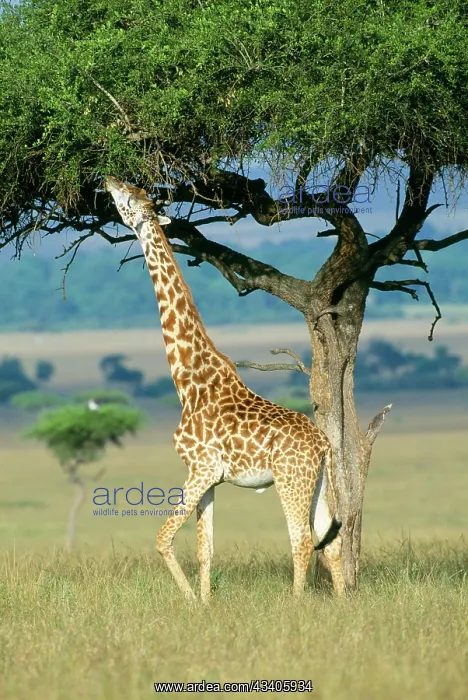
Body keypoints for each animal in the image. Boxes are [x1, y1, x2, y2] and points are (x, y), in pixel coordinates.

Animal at [105, 176, 346, 602]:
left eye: (130, 198)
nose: (107, 180)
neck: (188, 381)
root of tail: (324, 445)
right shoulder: (209, 477)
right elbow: (206, 548)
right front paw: (205, 604)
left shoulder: (199, 468)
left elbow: (163, 538)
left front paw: (189, 602)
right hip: (316, 481)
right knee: (330, 543)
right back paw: (346, 603)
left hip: (291, 479)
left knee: (301, 541)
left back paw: (296, 605)